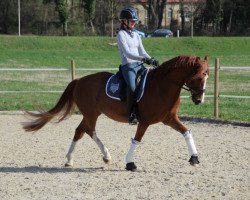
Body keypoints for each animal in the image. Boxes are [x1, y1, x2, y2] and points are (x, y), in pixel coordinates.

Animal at [23, 54, 209, 170]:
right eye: (198, 76)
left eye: (207, 76)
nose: (199, 100)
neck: (163, 86)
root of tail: (79, 80)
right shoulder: (144, 121)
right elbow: (137, 140)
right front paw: (130, 163)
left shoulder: (169, 118)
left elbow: (186, 132)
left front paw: (194, 158)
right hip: (91, 113)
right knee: (89, 130)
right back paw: (104, 156)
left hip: (91, 114)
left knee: (80, 131)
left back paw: (72, 159)